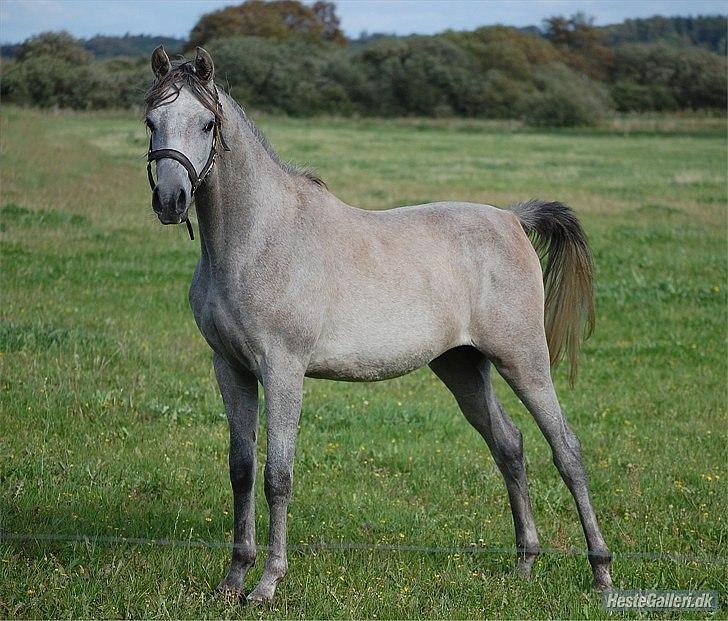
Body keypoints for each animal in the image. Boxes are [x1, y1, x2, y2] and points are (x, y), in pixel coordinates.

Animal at [144, 47, 616, 600]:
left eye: (206, 123)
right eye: (151, 121)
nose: (171, 201)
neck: (258, 240)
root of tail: (512, 219)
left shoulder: (282, 370)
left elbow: (277, 475)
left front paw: (267, 584)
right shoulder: (231, 368)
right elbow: (241, 469)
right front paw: (232, 579)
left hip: (523, 360)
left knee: (566, 449)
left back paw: (601, 571)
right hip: (461, 365)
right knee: (510, 445)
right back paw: (524, 564)